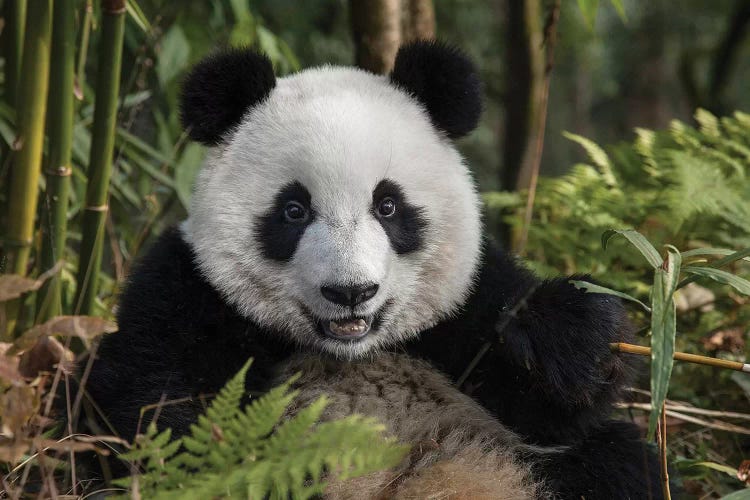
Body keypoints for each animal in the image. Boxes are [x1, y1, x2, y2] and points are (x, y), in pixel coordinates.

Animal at [83, 41, 664, 498]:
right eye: (293, 210)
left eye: (388, 206)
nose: (350, 292)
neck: (349, 351)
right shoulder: (190, 291)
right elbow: (153, 406)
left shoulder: (465, 305)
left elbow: (551, 406)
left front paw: (567, 336)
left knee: (615, 462)